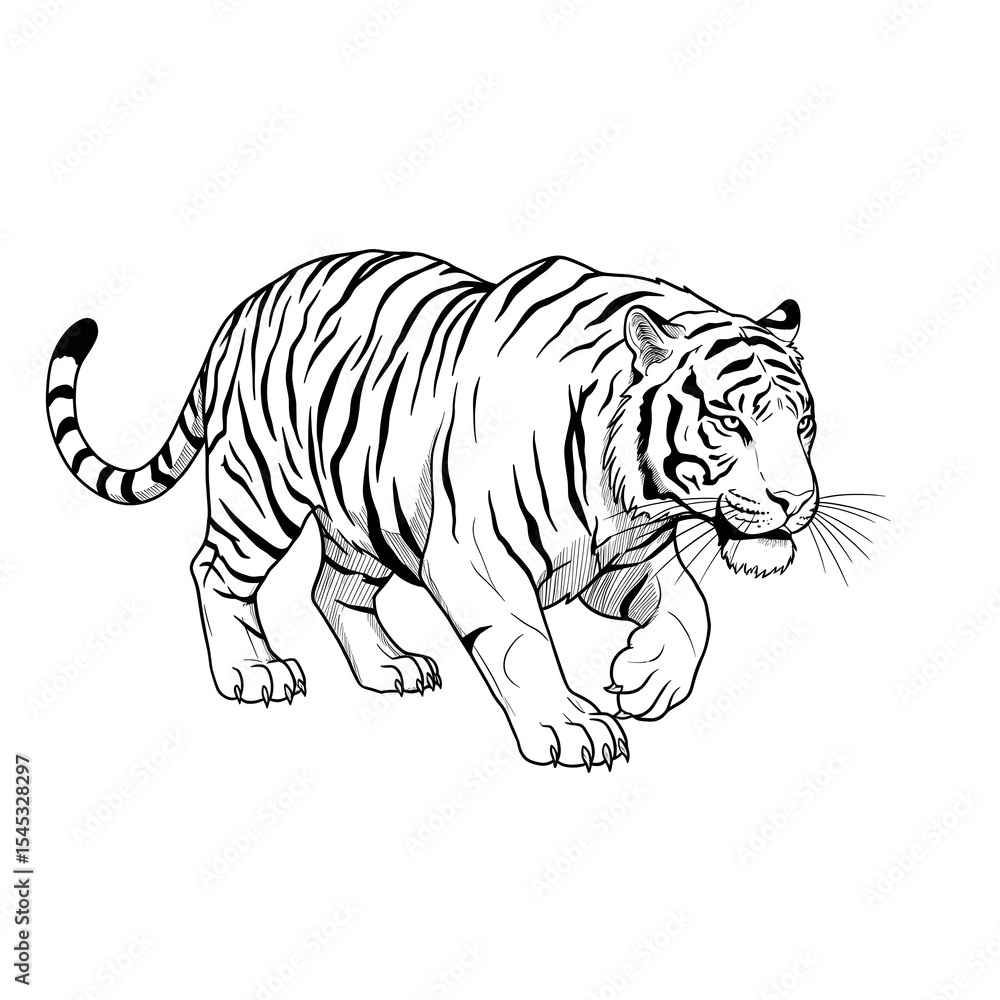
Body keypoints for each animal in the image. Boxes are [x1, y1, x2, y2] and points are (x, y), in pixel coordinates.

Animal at [46, 249, 820, 769]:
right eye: (730, 423)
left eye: (804, 422)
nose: (797, 501)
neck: (632, 499)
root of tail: (241, 311)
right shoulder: (479, 559)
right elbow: (522, 645)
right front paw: (571, 728)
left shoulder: (620, 561)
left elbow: (694, 610)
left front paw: (646, 678)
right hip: (259, 491)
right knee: (215, 570)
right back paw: (253, 672)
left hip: (361, 517)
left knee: (332, 589)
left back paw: (390, 667)